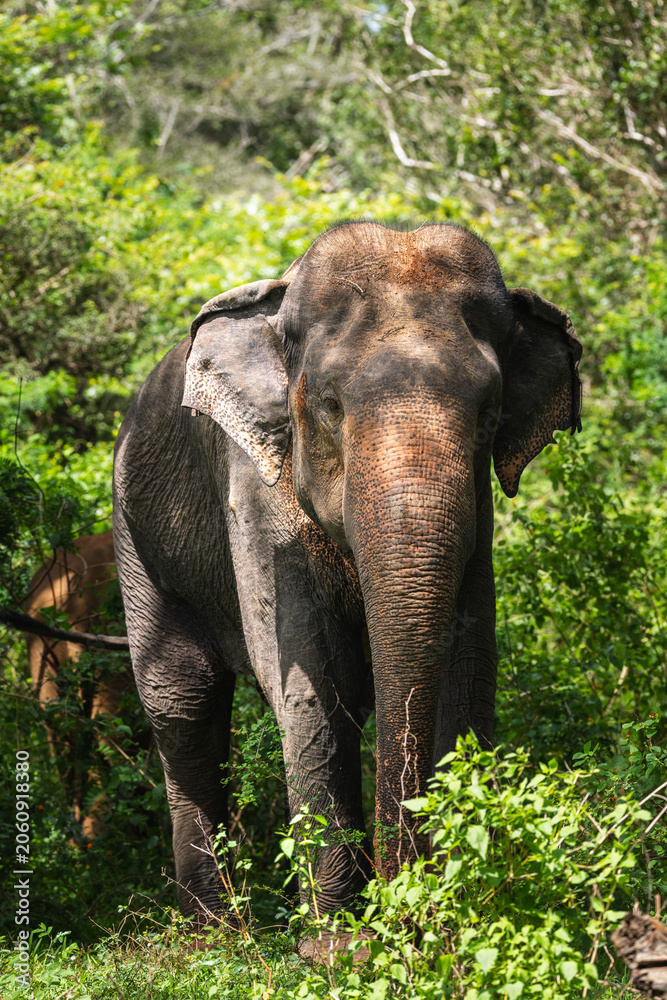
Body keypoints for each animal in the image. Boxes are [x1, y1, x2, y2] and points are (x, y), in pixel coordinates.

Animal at [112, 220, 582, 920]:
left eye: (489, 411)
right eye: (330, 405)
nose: (401, 893)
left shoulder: (478, 518)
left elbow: (466, 665)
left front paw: (441, 913)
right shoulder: (254, 487)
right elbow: (315, 675)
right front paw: (335, 932)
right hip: (131, 531)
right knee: (182, 700)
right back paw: (215, 925)